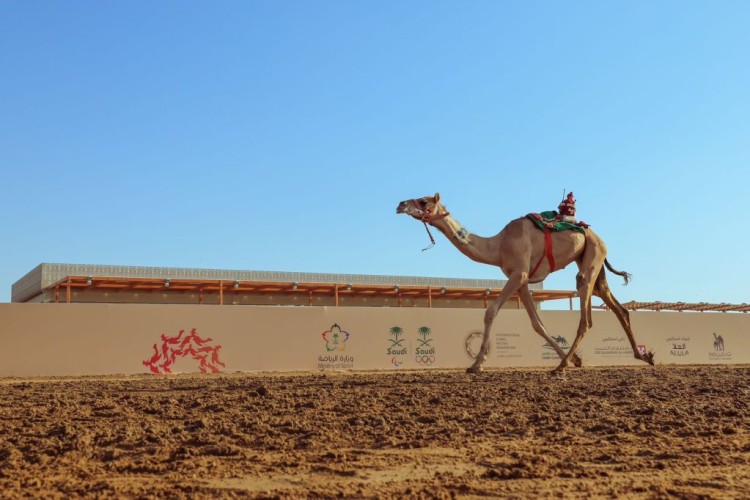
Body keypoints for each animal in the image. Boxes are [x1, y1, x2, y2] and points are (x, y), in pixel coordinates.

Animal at [396, 193, 656, 374]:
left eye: (423, 201)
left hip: (592, 256)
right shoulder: (520, 281)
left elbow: (490, 311)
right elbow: (537, 324)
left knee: (587, 315)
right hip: (593, 260)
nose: (400, 204)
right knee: (618, 307)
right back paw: (645, 356)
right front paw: (577, 359)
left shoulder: (518, 274)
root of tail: (597, 235)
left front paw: (477, 364)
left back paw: (560, 367)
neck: (499, 245)